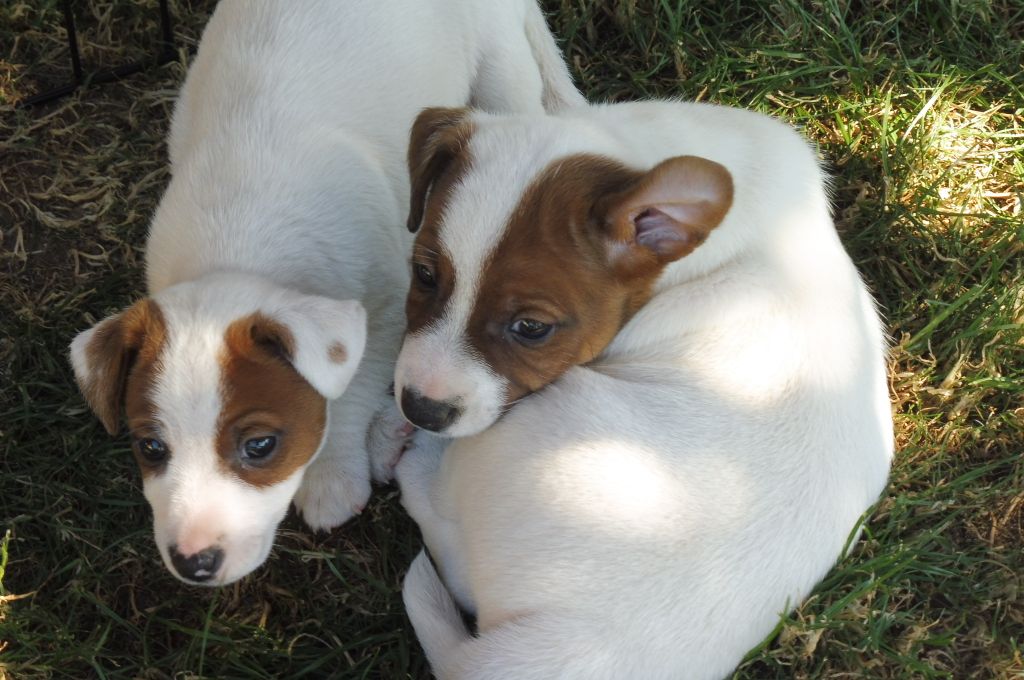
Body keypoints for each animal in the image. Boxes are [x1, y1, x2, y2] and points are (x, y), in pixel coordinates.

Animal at [70, 0, 585, 585]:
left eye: (260, 446)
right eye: (151, 447)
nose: (193, 563)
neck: (241, 241)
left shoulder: (387, 306)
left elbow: (352, 389)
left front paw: (335, 474)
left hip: (500, 66)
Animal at [395, 102, 892, 680]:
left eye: (531, 328)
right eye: (424, 274)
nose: (421, 409)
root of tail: (564, 645)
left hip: (541, 427)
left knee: (439, 527)